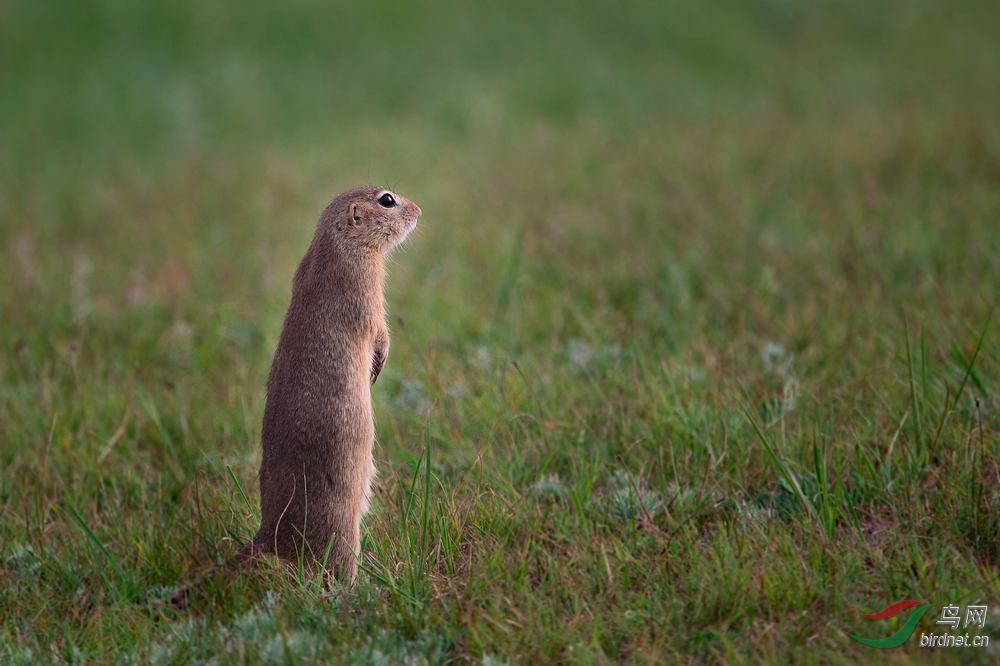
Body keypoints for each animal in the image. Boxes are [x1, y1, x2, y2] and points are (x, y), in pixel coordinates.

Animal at [241, 184, 422, 580]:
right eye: (387, 200)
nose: (419, 211)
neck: (336, 246)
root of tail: (268, 534)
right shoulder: (365, 289)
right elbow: (378, 329)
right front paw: (379, 361)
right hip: (341, 526)